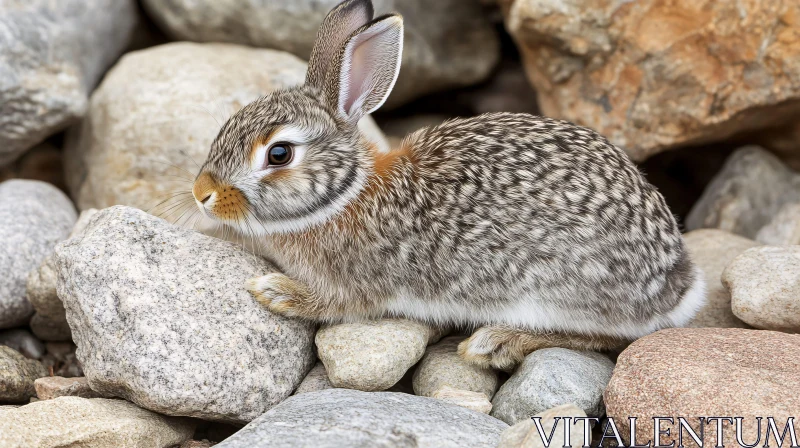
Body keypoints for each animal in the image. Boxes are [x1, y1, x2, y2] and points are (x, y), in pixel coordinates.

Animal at [192, 0, 708, 370]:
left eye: (279, 154)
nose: (202, 195)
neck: (344, 196)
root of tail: (676, 282)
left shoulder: (356, 285)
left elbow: (332, 304)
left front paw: (276, 291)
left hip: (557, 291)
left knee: (608, 336)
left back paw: (495, 343)